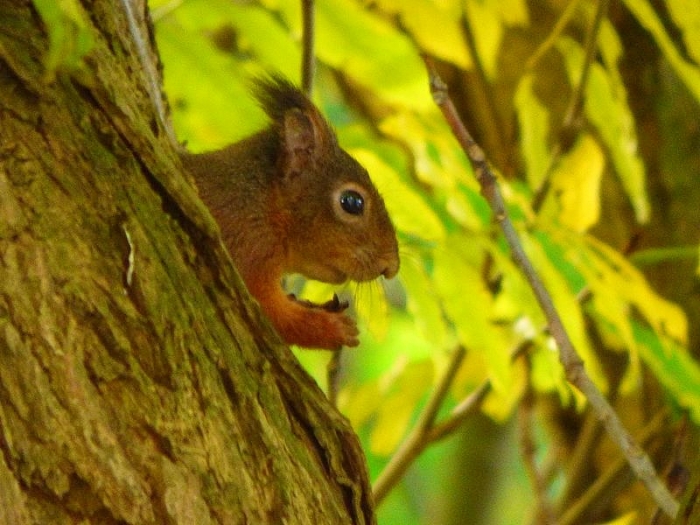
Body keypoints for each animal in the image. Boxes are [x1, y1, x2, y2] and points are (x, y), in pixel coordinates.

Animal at [181, 76, 399, 350]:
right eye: (352, 202)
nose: (392, 267)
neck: (262, 207)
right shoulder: (245, 247)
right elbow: (272, 313)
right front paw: (332, 328)